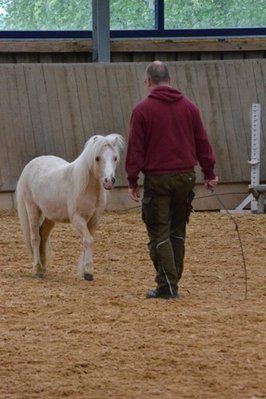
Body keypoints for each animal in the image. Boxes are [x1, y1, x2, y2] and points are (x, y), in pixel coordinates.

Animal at [16, 134, 124, 282]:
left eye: (115, 157)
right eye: (97, 158)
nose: (109, 181)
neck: (87, 187)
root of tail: (30, 165)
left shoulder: (94, 220)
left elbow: (88, 240)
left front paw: (85, 272)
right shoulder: (77, 218)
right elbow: (88, 240)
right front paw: (88, 272)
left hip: (50, 216)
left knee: (43, 234)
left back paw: (43, 266)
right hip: (32, 209)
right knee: (35, 237)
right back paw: (37, 269)